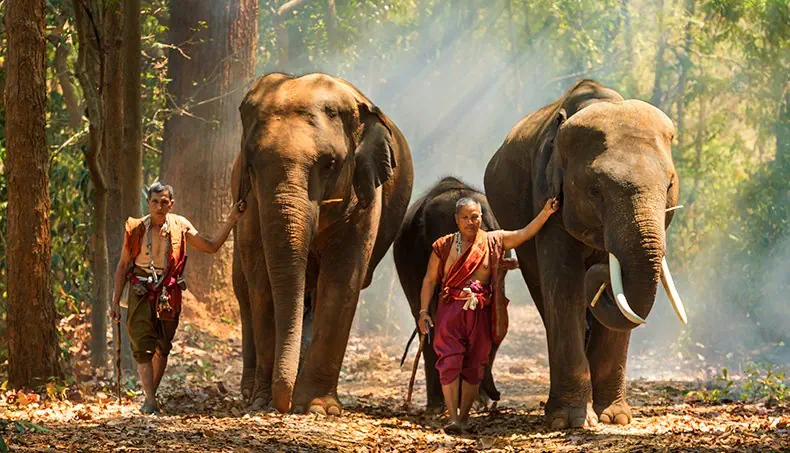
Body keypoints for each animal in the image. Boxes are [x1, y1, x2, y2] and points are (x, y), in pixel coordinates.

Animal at [231, 72, 414, 415]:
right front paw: (262, 401)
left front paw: (318, 408)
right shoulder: (247, 201)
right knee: (243, 289)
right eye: (251, 164)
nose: (283, 404)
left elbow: (342, 280)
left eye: (329, 164)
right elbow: (262, 282)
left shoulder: (365, 195)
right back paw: (249, 392)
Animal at [484, 80, 686, 429]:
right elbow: (564, 287)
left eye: (670, 185)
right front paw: (571, 421)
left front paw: (615, 418)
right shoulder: (549, 203)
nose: (599, 276)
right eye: (595, 190)